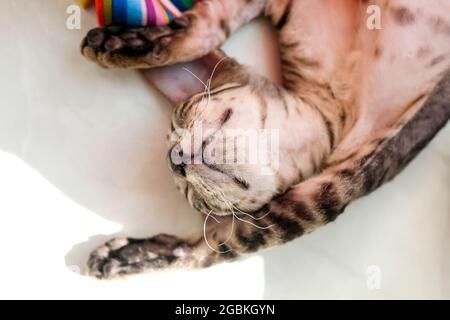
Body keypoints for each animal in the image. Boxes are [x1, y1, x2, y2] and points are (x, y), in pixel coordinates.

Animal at [81, 0, 450, 278]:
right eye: (190, 195)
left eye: (182, 117)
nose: (175, 161)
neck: (341, 97)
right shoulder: (326, 196)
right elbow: (219, 245)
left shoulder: (345, 183)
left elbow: (204, 30)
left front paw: (126, 43)